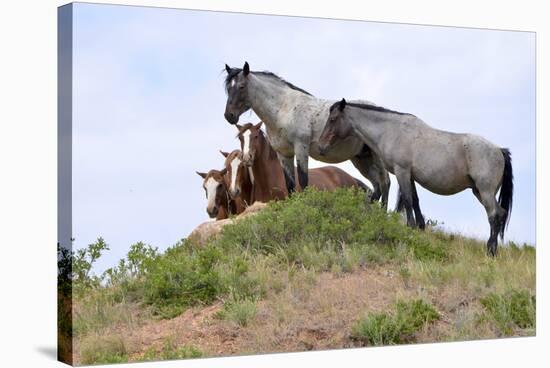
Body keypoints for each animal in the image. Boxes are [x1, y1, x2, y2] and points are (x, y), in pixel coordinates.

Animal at [322, 99, 516, 258]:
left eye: (333, 119)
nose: (323, 146)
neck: (391, 131)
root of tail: (499, 150)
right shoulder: (411, 176)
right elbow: (415, 201)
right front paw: (420, 227)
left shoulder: (402, 171)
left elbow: (408, 201)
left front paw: (410, 227)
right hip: (479, 191)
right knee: (500, 213)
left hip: (485, 191)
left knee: (494, 215)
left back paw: (491, 251)